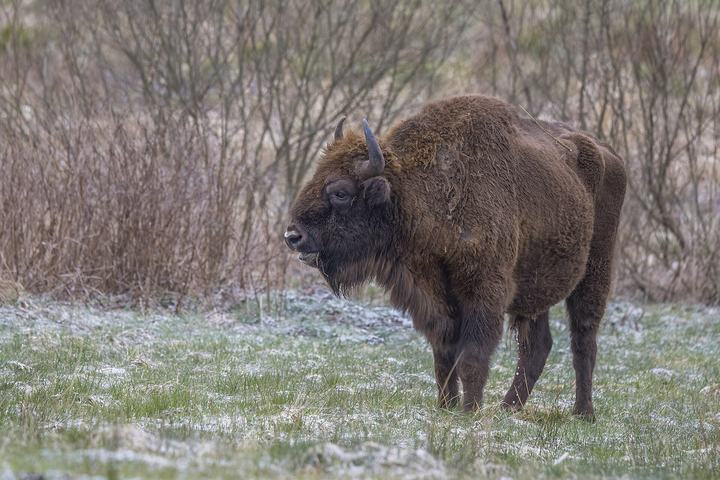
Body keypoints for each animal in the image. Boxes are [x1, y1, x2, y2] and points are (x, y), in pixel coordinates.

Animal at [285, 95, 626, 418]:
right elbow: (444, 356)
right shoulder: (433, 294)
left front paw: (469, 410)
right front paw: (446, 406)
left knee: (583, 339)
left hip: (595, 272)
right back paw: (508, 409)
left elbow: (472, 357)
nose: (293, 236)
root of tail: (609, 153)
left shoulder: (483, 291)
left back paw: (583, 413)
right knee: (537, 346)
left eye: (340, 192)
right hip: (534, 289)